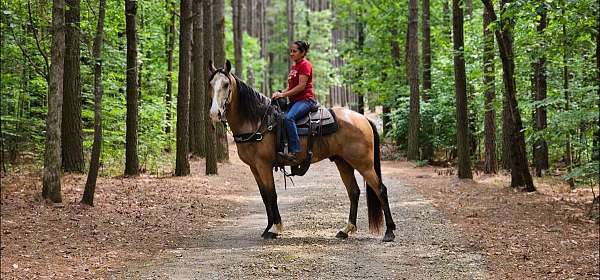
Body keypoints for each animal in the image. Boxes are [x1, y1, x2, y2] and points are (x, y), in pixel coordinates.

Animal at [209, 60, 396, 242]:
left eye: (226, 84)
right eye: (211, 84)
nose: (214, 113)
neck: (258, 121)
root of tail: (363, 119)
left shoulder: (264, 165)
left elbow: (272, 195)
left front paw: (276, 228)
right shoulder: (254, 167)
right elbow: (264, 196)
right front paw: (268, 228)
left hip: (363, 164)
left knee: (380, 190)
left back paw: (389, 232)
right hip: (343, 162)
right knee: (354, 192)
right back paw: (346, 230)